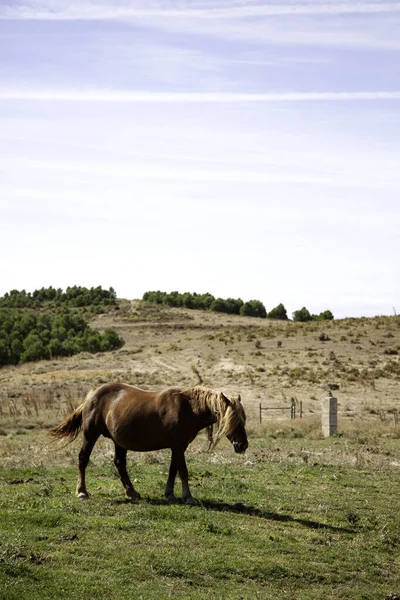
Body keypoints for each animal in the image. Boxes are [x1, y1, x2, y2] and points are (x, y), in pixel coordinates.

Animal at [50, 382, 247, 504]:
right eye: (234, 421)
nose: (243, 445)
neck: (188, 408)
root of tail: (93, 393)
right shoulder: (177, 446)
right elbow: (183, 471)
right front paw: (188, 497)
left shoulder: (178, 447)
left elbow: (173, 470)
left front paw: (170, 494)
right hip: (90, 435)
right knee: (83, 459)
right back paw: (82, 491)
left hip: (118, 441)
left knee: (120, 463)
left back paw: (131, 493)